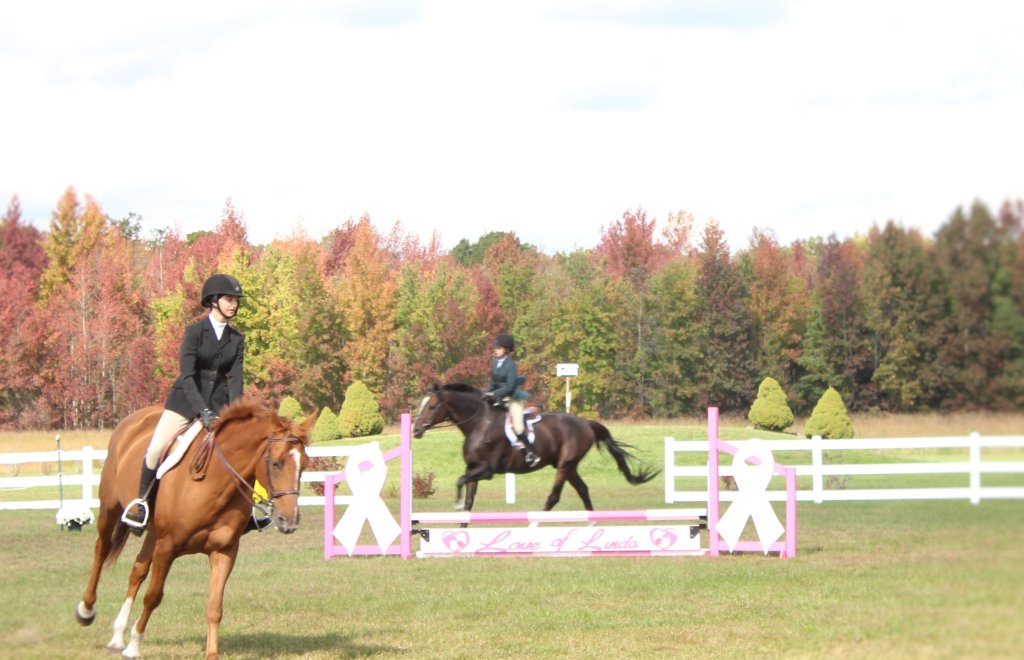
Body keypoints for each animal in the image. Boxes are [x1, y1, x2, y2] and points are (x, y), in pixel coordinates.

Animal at [74, 399, 315, 654]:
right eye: (276, 463)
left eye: (304, 465)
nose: (289, 522)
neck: (215, 483)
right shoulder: (167, 546)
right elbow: (153, 596)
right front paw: (134, 647)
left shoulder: (224, 551)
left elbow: (215, 606)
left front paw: (212, 653)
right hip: (110, 509)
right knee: (102, 549)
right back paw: (86, 611)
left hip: (153, 534)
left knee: (137, 571)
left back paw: (117, 636)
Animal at [409, 380, 655, 515]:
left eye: (432, 406)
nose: (416, 429)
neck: (479, 423)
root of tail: (585, 422)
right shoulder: (473, 468)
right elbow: (469, 500)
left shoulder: (486, 470)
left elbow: (460, 483)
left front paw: (457, 506)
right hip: (568, 466)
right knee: (583, 490)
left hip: (565, 465)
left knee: (553, 497)